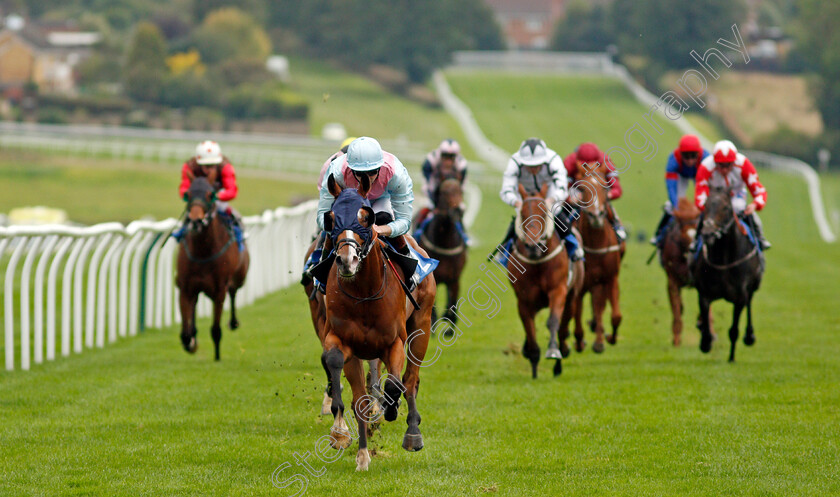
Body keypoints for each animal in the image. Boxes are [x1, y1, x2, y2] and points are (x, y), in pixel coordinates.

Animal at [177, 176, 249, 358]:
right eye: (188, 194)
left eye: (210, 195)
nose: (195, 221)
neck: (203, 252)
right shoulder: (185, 287)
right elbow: (185, 334)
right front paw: (191, 342)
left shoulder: (219, 290)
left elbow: (216, 330)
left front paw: (217, 357)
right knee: (194, 304)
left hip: (239, 278)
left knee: (233, 292)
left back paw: (233, 322)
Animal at [322, 173, 436, 468]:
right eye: (332, 218)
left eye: (366, 217)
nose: (347, 260)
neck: (364, 294)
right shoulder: (342, 341)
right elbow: (351, 389)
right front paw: (346, 440)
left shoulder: (394, 342)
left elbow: (395, 384)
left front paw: (392, 410)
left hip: (421, 324)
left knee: (411, 379)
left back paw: (412, 431)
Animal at [416, 178, 470, 326]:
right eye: (445, 192)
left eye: (460, 191)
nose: (459, 210)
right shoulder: (434, 280)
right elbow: (433, 313)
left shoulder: (454, 279)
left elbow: (452, 310)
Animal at [506, 184, 584, 378]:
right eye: (523, 214)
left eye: (543, 214)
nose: (533, 246)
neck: (538, 262)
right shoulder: (524, 300)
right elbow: (529, 327)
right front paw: (533, 361)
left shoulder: (558, 290)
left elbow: (553, 322)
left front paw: (554, 351)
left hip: (572, 296)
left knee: (563, 325)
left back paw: (561, 355)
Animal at [572, 166, 624, 352]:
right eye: (581, 189)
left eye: (605, 187)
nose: (596, 215)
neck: (596, 244)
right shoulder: (580, 284)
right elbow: (577, 313)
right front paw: (579, 341)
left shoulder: (609, 278)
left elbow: (615, 315)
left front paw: (607, 338)